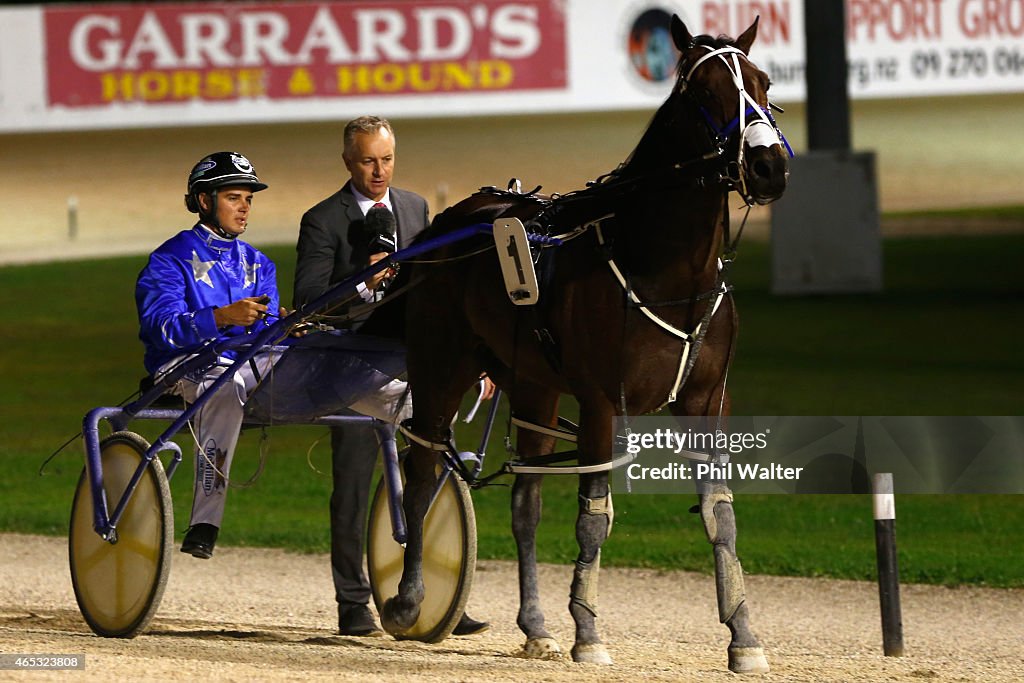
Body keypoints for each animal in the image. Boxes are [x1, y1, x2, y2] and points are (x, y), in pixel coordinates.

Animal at [380, 15, 786, 671]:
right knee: (420, 476)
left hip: (532, 387)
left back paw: (535, 627)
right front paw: (589, 634)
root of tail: (447, 222)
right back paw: (408, 601)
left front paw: (744, 638)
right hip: (441, 363)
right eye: (705, 93)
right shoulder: (602, 404)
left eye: (763, 82)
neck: (666, 270)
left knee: (525, 502)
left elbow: (719, 516)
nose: (770, 165)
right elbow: (595, 518)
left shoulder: (707, 400)